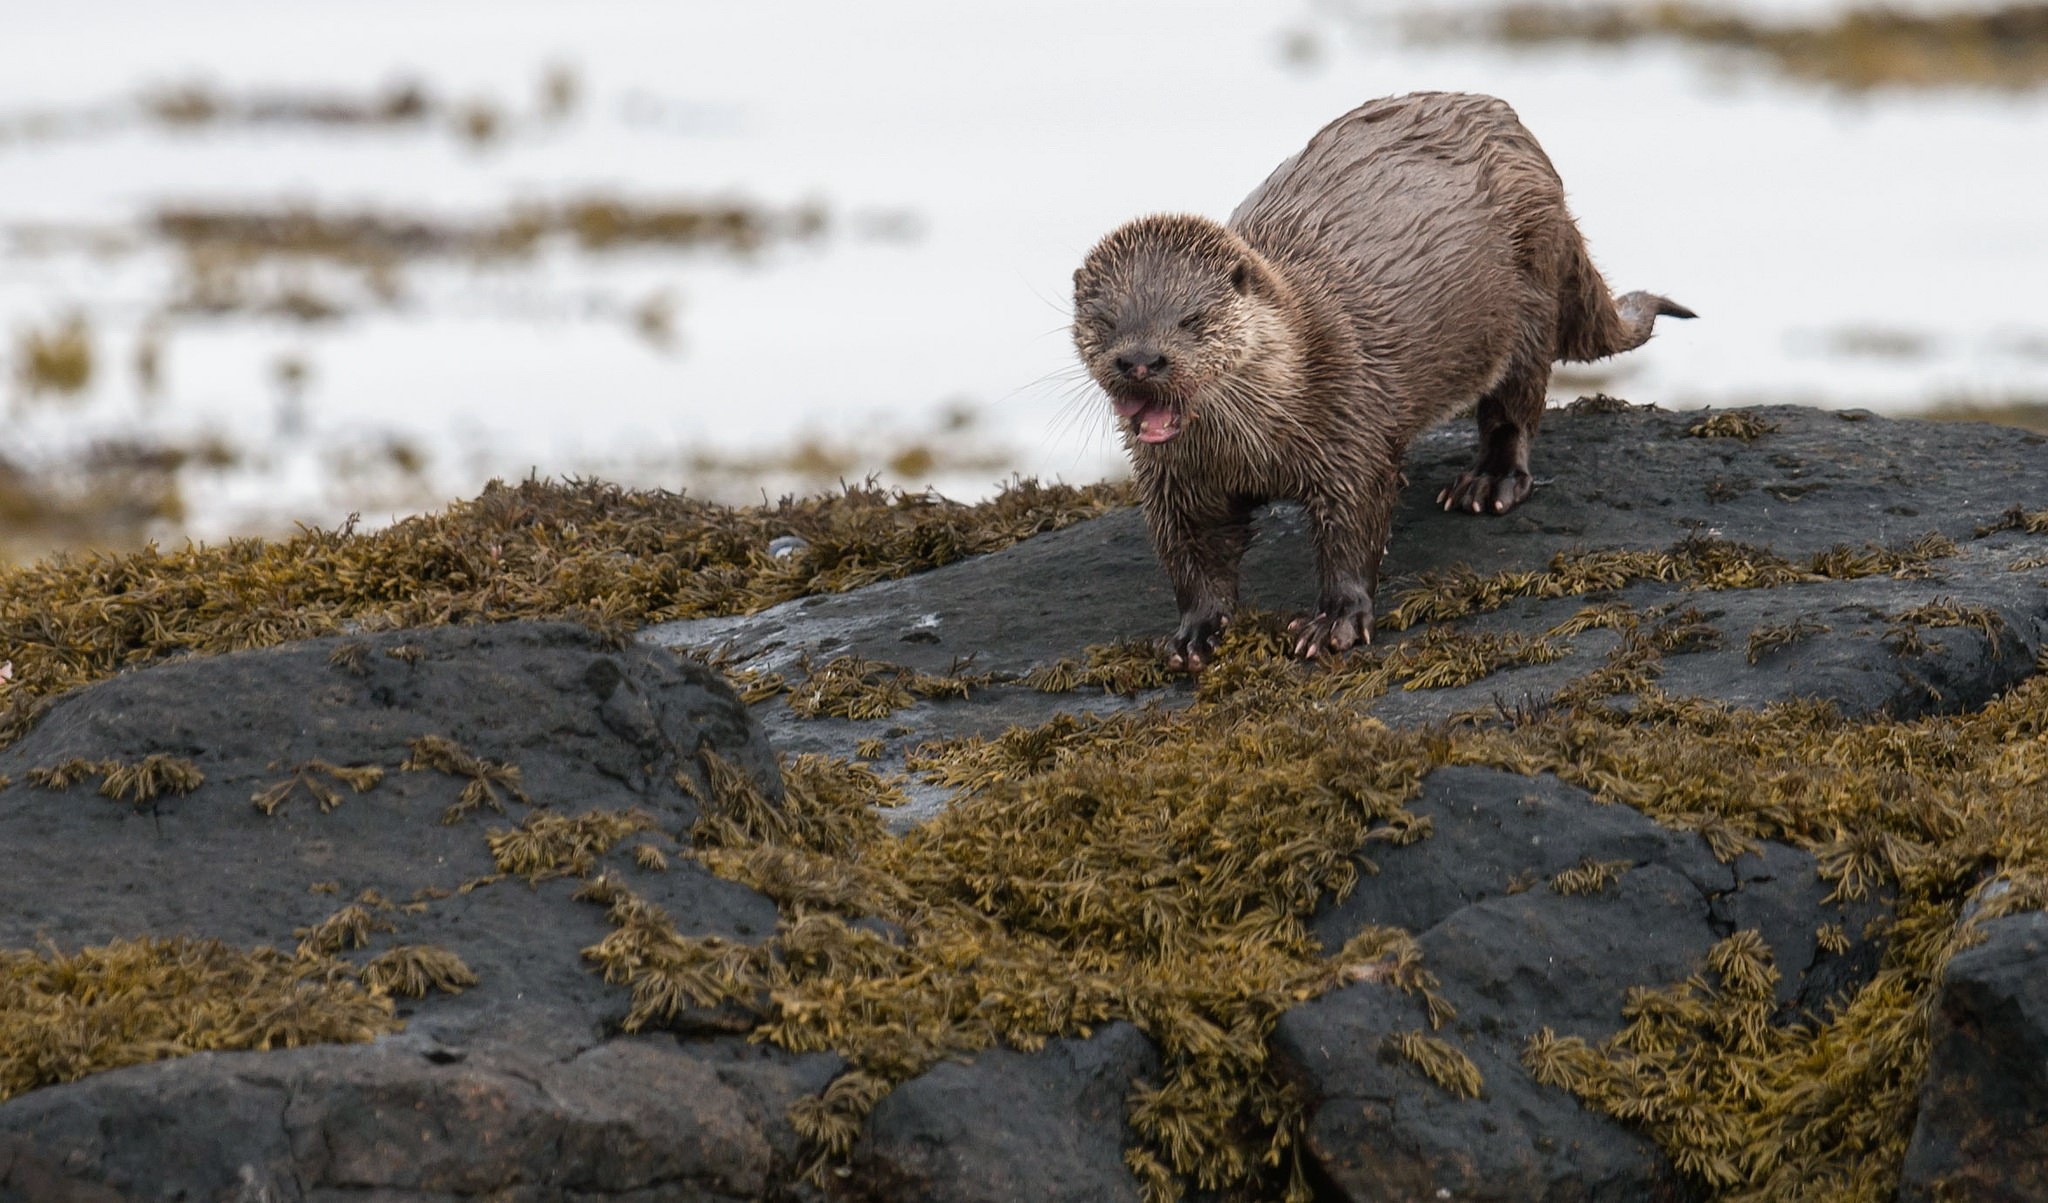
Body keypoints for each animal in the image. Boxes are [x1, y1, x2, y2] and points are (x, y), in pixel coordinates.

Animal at [1072, 91, 1693, 669]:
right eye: (1105, 322)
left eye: (1192, 319)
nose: (1141, 361)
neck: (1254, 444)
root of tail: (1525, 142)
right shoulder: (1173, 482)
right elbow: (1191, 557)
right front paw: (1194, 633)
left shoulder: (1350, 418)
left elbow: (1355, 526)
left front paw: (1335, 622)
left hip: (1531, 295)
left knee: (1515, 407)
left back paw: (1488, 482)